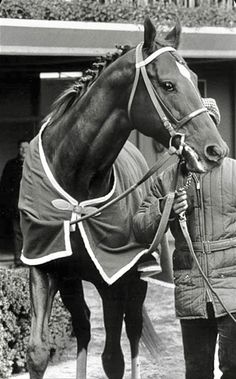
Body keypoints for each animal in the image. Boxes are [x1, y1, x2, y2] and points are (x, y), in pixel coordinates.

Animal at [18, 16, 229, 378]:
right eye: (169, 84)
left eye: (193, 79)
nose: (215, 150)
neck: (77, 186)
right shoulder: (43, 265)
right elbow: (37, 352)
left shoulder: (115, 278)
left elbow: (113, 359)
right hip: (73, 281)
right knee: (84, 327)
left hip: (137, 281)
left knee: (131, 336)